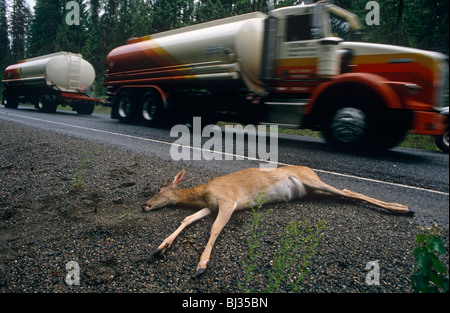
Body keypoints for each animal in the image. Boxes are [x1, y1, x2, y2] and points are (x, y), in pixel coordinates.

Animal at [142, 166, 414, 276]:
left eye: (159, 188)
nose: (144, 205)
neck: (203, 193)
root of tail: (310, 170)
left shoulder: (228, 201)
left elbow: (215, 229)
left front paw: (201, 265)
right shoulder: (211, 206)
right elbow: (187, 218)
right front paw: (160, 248)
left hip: (312, 181)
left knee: (348, 191)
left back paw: (404, 208)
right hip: (312, 190)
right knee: (345, 192)